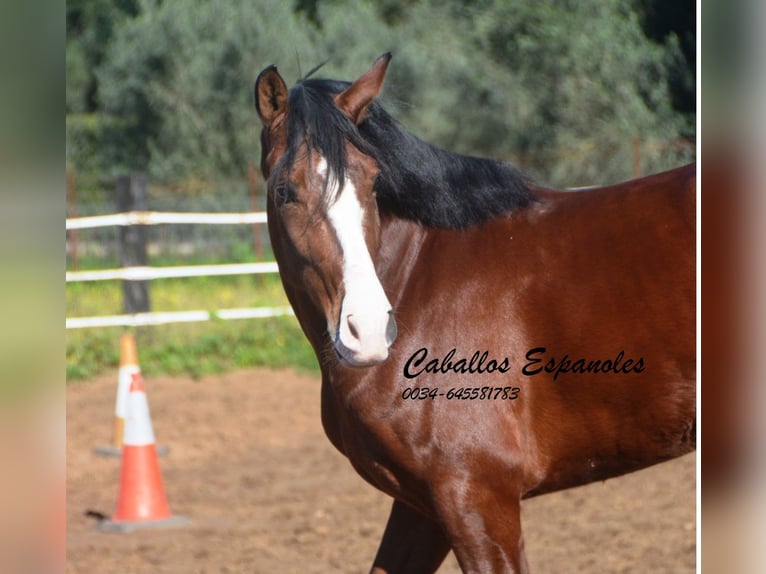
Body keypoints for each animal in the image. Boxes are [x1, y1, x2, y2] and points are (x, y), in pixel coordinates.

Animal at [255, 54, 700, 574]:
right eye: (284, 191)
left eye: (373, 180)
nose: (367, 331)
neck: (416, 277)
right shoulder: (422, 505)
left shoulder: (477, 495)